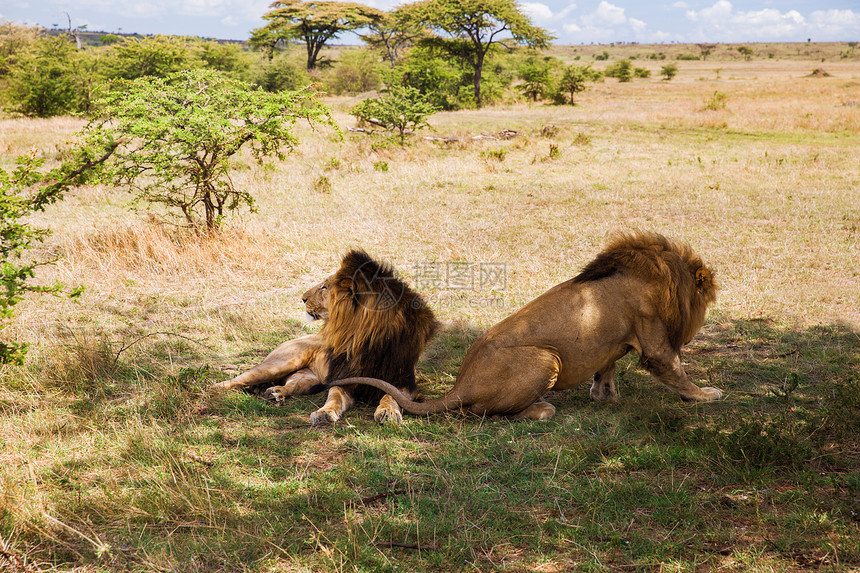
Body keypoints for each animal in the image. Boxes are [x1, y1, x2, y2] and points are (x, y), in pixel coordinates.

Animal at [212, 250, 440, 424]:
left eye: (324, 287)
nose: (302, 298)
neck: (362, 338)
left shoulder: (404, 382)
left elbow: (390, 395)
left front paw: (388, 411)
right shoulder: (344, 377)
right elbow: (335, 396)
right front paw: (324, 413)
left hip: (308, 380)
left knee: (291, 385)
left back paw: (276, 393)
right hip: (280, 363)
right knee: (239, 379)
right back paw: (212, 389)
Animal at [326, 230, 724, 418]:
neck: (666, 276)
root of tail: (461, 384)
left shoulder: (615, 340)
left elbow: (606, 368)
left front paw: (604, 395)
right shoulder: (653, 336)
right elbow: (676, 371)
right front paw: (705, 395)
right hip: (547, 358)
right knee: (484, 412)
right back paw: (542, 409)